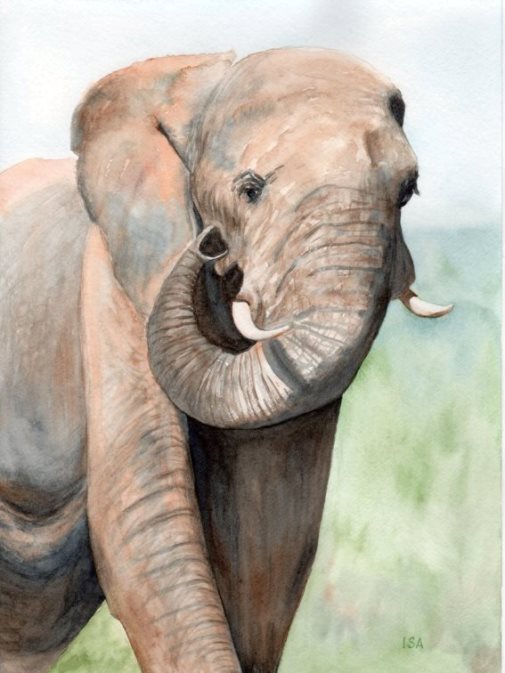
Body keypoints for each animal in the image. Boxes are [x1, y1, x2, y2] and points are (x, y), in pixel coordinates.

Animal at [0, 47, 452, 673]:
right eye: (250, 189)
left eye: (409, 190)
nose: (208, 245)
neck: (195, 78)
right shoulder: (114, 270)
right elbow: (142, 525)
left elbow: (268, 545)